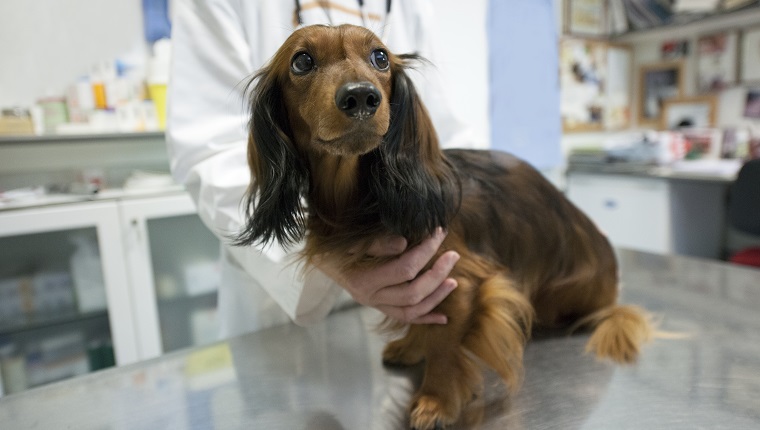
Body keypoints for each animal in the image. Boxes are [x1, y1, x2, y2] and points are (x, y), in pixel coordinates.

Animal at [233, 25, 652, 428]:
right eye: (302, 61)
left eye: (380, 57)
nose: (361, 96)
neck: (363, 200)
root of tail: (610, 292)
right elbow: (427, 320)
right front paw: (412, 346)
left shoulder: (460, 278)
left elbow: (445, 344)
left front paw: (437, 400)